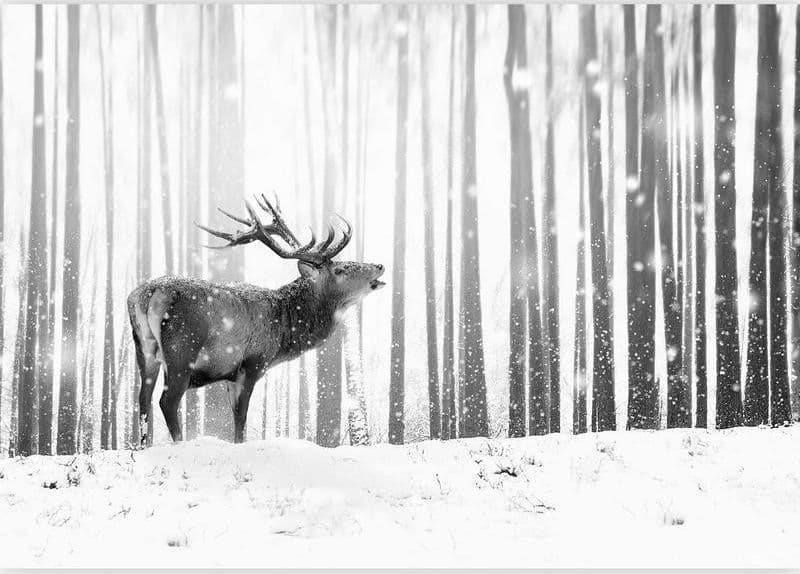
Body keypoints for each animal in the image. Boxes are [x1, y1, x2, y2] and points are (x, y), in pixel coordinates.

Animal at [127, 193, 385, 446]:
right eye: (340, 269)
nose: (379, 265)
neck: (283, 331)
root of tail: (148, 294)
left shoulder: (229, 374)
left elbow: (235, 416)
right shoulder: (253, 361)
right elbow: (241, 417)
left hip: (144, 349)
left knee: (143, 400)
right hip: (182, 349)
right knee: (167, 401)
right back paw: (179, 444)